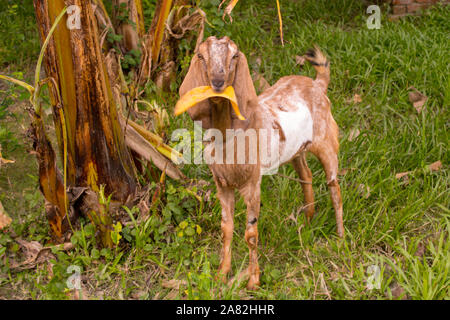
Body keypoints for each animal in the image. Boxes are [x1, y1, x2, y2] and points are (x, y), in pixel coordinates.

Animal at [178, 35, 342, 290]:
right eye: (201, 55)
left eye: (235, 55)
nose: (218, 82)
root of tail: (318, 84)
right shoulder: (222, 184)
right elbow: (226, 228)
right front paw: (222, 274)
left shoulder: (253, 183)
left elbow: (251, 233)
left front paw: (253, 280)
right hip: (296, 150)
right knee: (306, 175)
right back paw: (307, 220)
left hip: (326, 142)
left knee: (334, 185)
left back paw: (341, 239)